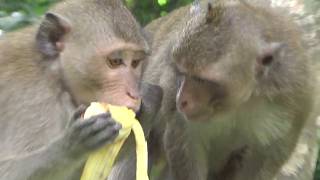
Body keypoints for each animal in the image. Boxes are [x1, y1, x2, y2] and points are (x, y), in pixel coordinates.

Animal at [0, 0, 162, 180]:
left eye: (135, 63)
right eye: (115, 61)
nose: (133, 94)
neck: (54, 72)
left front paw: (150, 101)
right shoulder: (33, 102)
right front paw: (71, 147)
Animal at [144, 0, 318, 179]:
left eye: (201, 79)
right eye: (181, 72)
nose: (181, 100)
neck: (241, 101)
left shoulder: (292, 96)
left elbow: (267, 154)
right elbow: (184, 141)